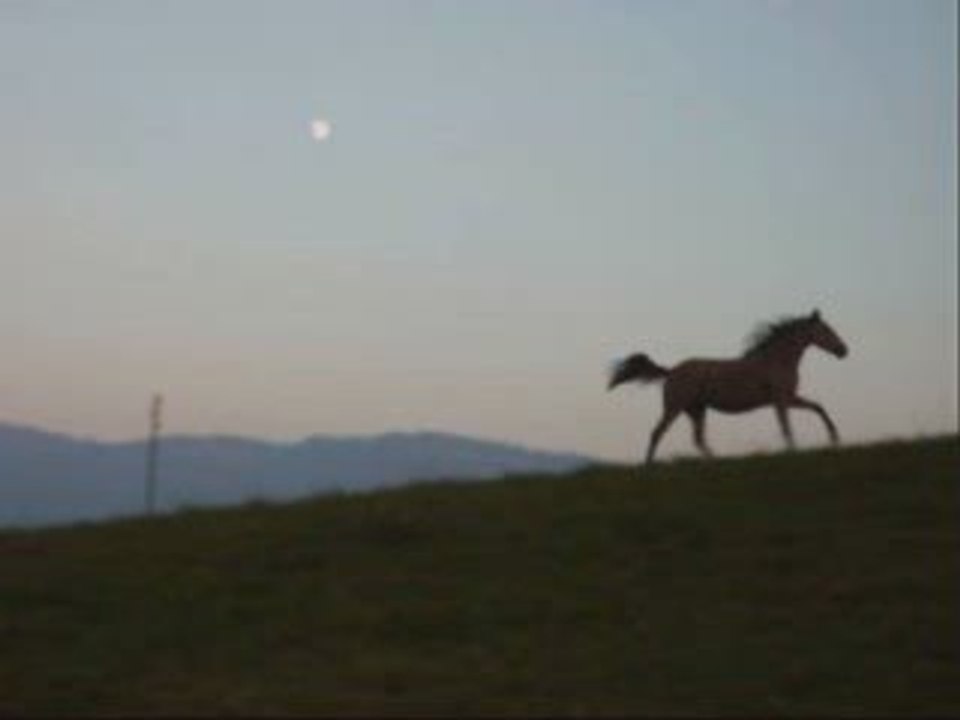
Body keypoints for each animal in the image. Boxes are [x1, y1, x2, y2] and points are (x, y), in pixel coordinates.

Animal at [608, 309, 848, 464]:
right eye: (826, 330)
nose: (844, 350)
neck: (776, 360)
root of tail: (671, 370)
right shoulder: (782, 400)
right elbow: (787, 427)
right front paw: (795, 450)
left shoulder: (788, 398)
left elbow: (818, 408)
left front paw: (835, 438)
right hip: (674, 407)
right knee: (657, 433)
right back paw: (648, 466)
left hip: (696, 410)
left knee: (698, 439)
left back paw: (715, 460)